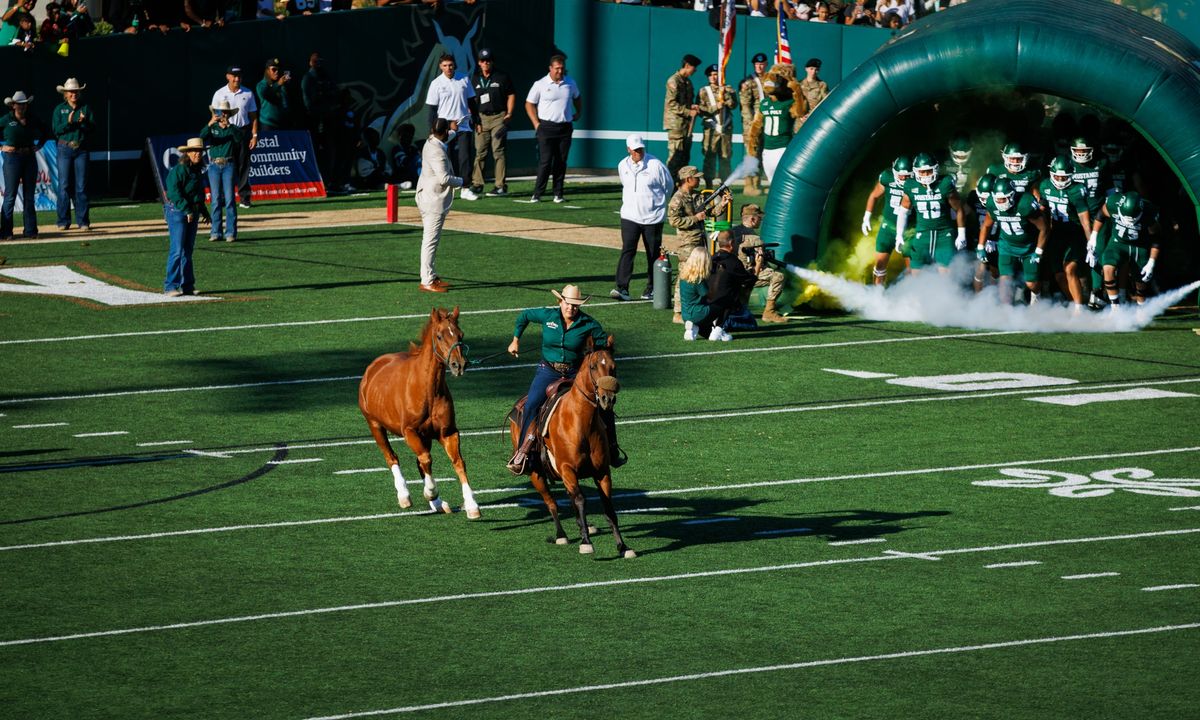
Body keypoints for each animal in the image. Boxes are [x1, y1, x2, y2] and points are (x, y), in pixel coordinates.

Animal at [355, 306, 477, 520]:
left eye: (460, 335)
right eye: (439, 336)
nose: (459, 365)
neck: (428, 390)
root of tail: (373, 367)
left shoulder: (447, 432)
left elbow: (458, 462)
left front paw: (471, 506)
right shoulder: (410, 432)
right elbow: (426, 459)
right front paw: (430, 492)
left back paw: (438, 504)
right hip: (374, 425)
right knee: (392, 457)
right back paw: (405, 496)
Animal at [506, 333, 638, 559]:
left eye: (613, 367)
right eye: (593, 366)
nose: (607, 398)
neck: (580, 422)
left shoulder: (602, 471)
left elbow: (608, 507)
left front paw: (623, 546)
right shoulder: (567, 469)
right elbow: (580, 500)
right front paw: (586, 543)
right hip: (536, 473)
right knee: (551, 501)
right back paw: (562, 535)